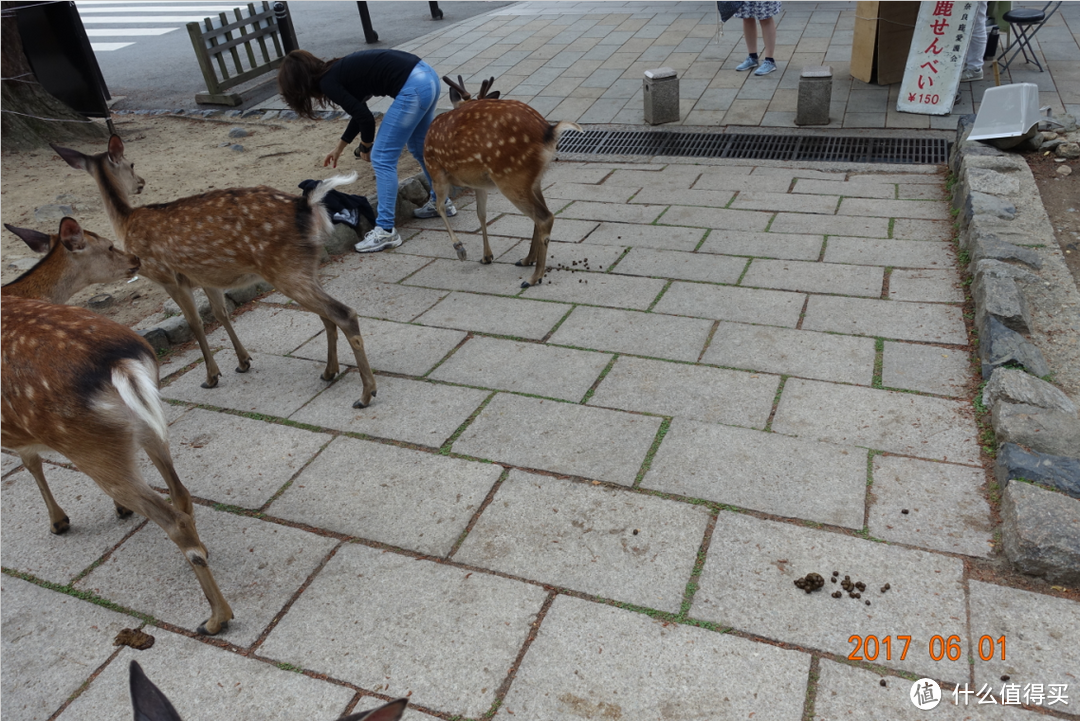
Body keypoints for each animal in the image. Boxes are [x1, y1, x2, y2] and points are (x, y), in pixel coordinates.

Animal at [51, 133, 380, 405]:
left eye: (131, 162)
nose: (141, 182)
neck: (126, 223)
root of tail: (309, 205)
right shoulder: (204, 276)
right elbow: (221, 313)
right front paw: (243, 361)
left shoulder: (168, 277)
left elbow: (196, 322)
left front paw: (211, 377)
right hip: (305, 266)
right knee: (327, 316)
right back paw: (329, 371)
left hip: (286, 269)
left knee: (343, 313)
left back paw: (366, 393)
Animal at [421, 73, 583, 287]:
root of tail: (550, 131)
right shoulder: (478, 183)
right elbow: (481, 213)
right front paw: (486, 256)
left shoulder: (435, 168)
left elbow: (440, 207)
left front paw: (460, 249)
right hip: (532, 179)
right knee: (540, 215)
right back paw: (527, 260)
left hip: (510, 176)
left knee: (545, 216)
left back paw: (533, 278)